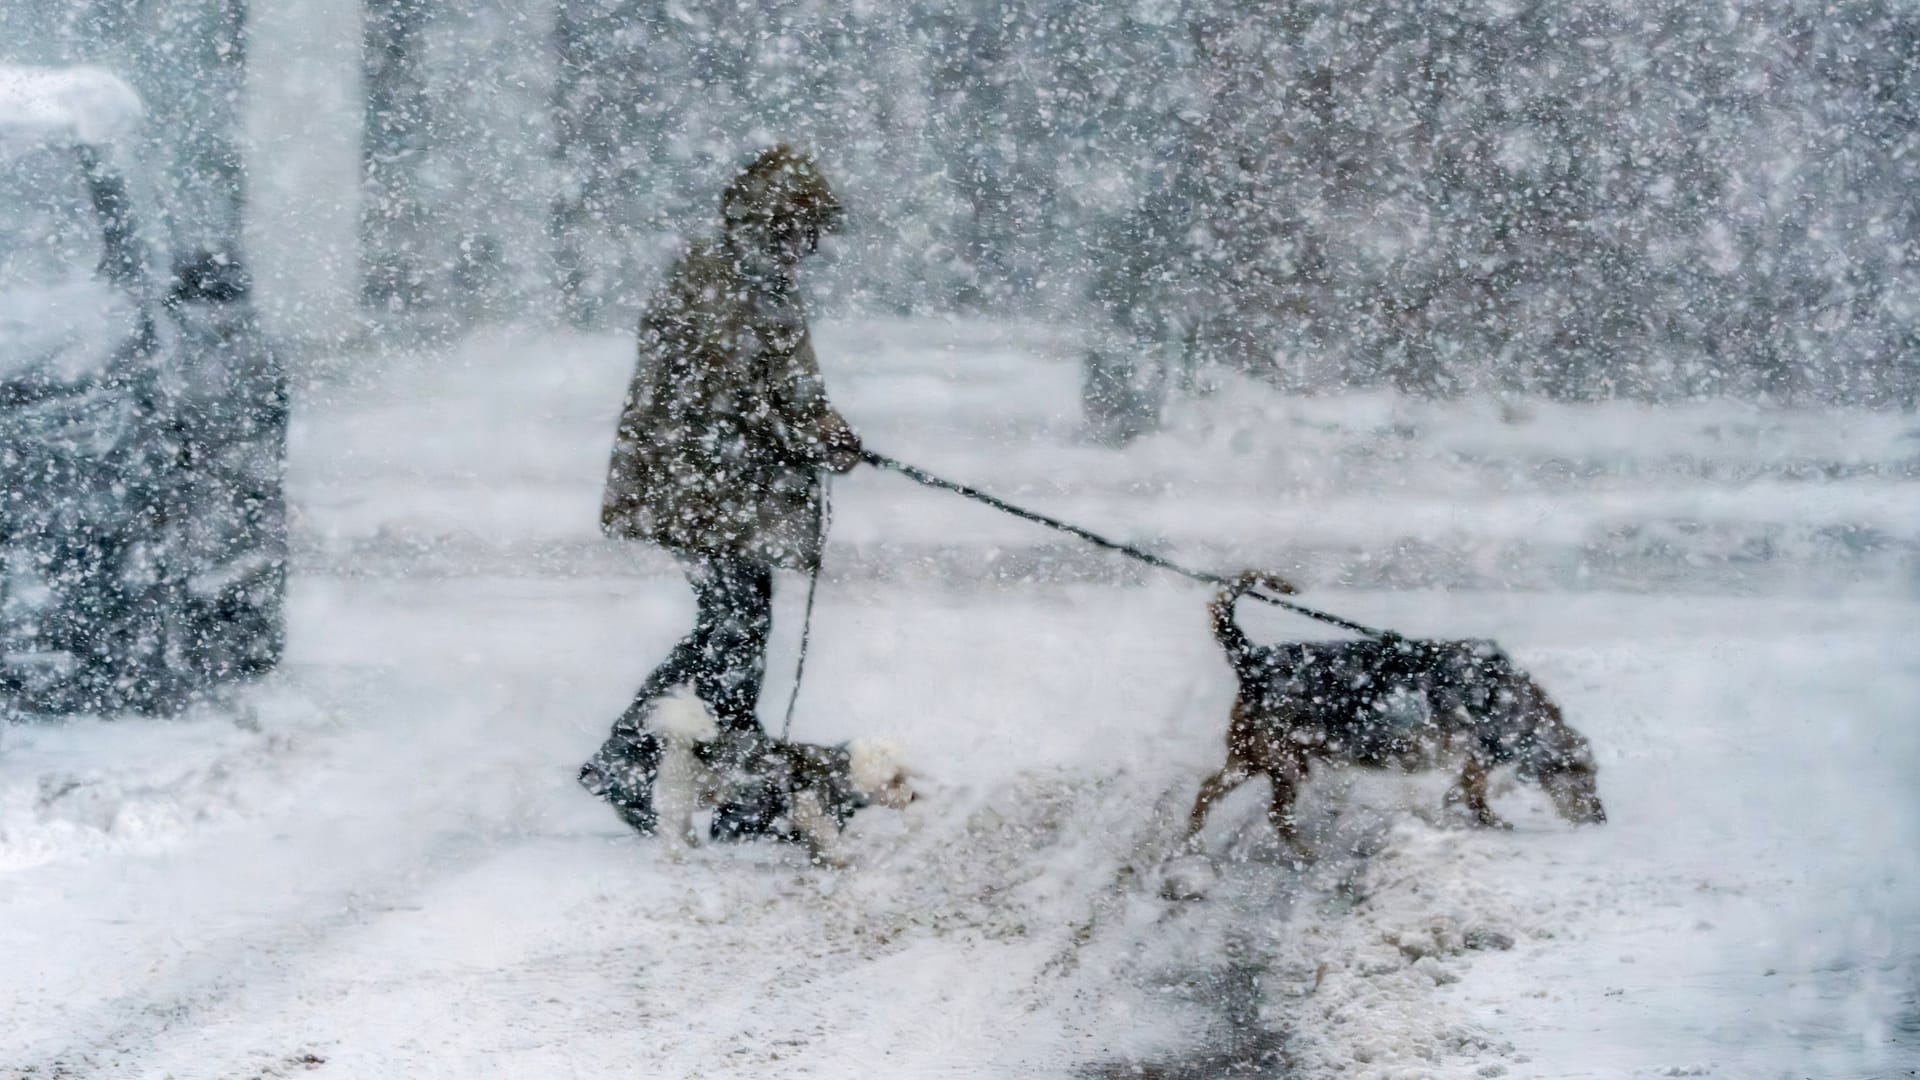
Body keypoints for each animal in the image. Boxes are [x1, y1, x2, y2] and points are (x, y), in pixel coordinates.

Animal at [645, 687, 913, 864]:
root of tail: (690, 743)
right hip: (681, 792)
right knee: (669, 827)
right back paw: (673, 853)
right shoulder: (808, 806)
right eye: (897, 778)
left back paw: (692, 842)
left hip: (696, 794)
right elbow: (826, 832)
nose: (911, 796)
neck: (842, 768)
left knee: (682, 823)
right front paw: (837, 856)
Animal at [1182, 568, 1605, 853]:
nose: (1602, 820)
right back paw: (1304, 853)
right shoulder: (1477, 756)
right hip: (1281, 759)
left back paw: (1189, 844)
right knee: (1275, 815)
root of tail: (1251, 659)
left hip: (1254, 756)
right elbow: (1473, 794)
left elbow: (1464, 791)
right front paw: (1492, 822)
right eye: (1587, 777)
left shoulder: (1473, 760)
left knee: (1207, 791)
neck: (1516, 707)